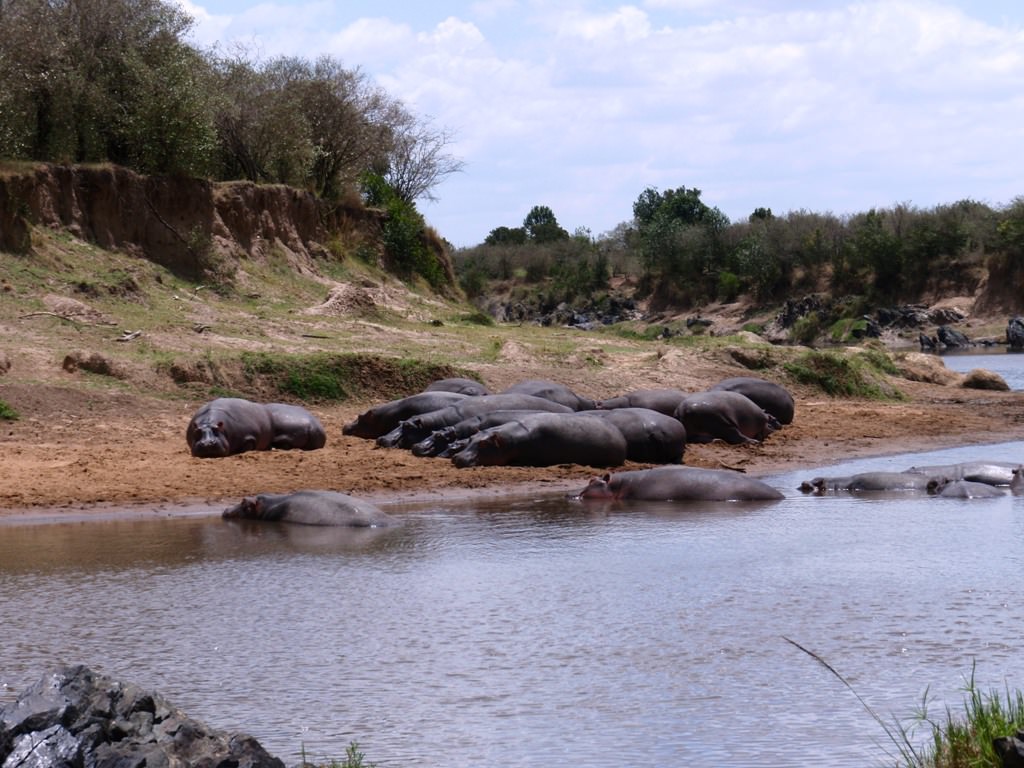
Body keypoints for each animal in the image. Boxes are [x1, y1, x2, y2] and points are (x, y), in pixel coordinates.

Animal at [186, 399, 325, 460]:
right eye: (197, 431)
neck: (209, 422)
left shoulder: (249, 437)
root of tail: (313, 426)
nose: (207, 443)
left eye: (217, 430)